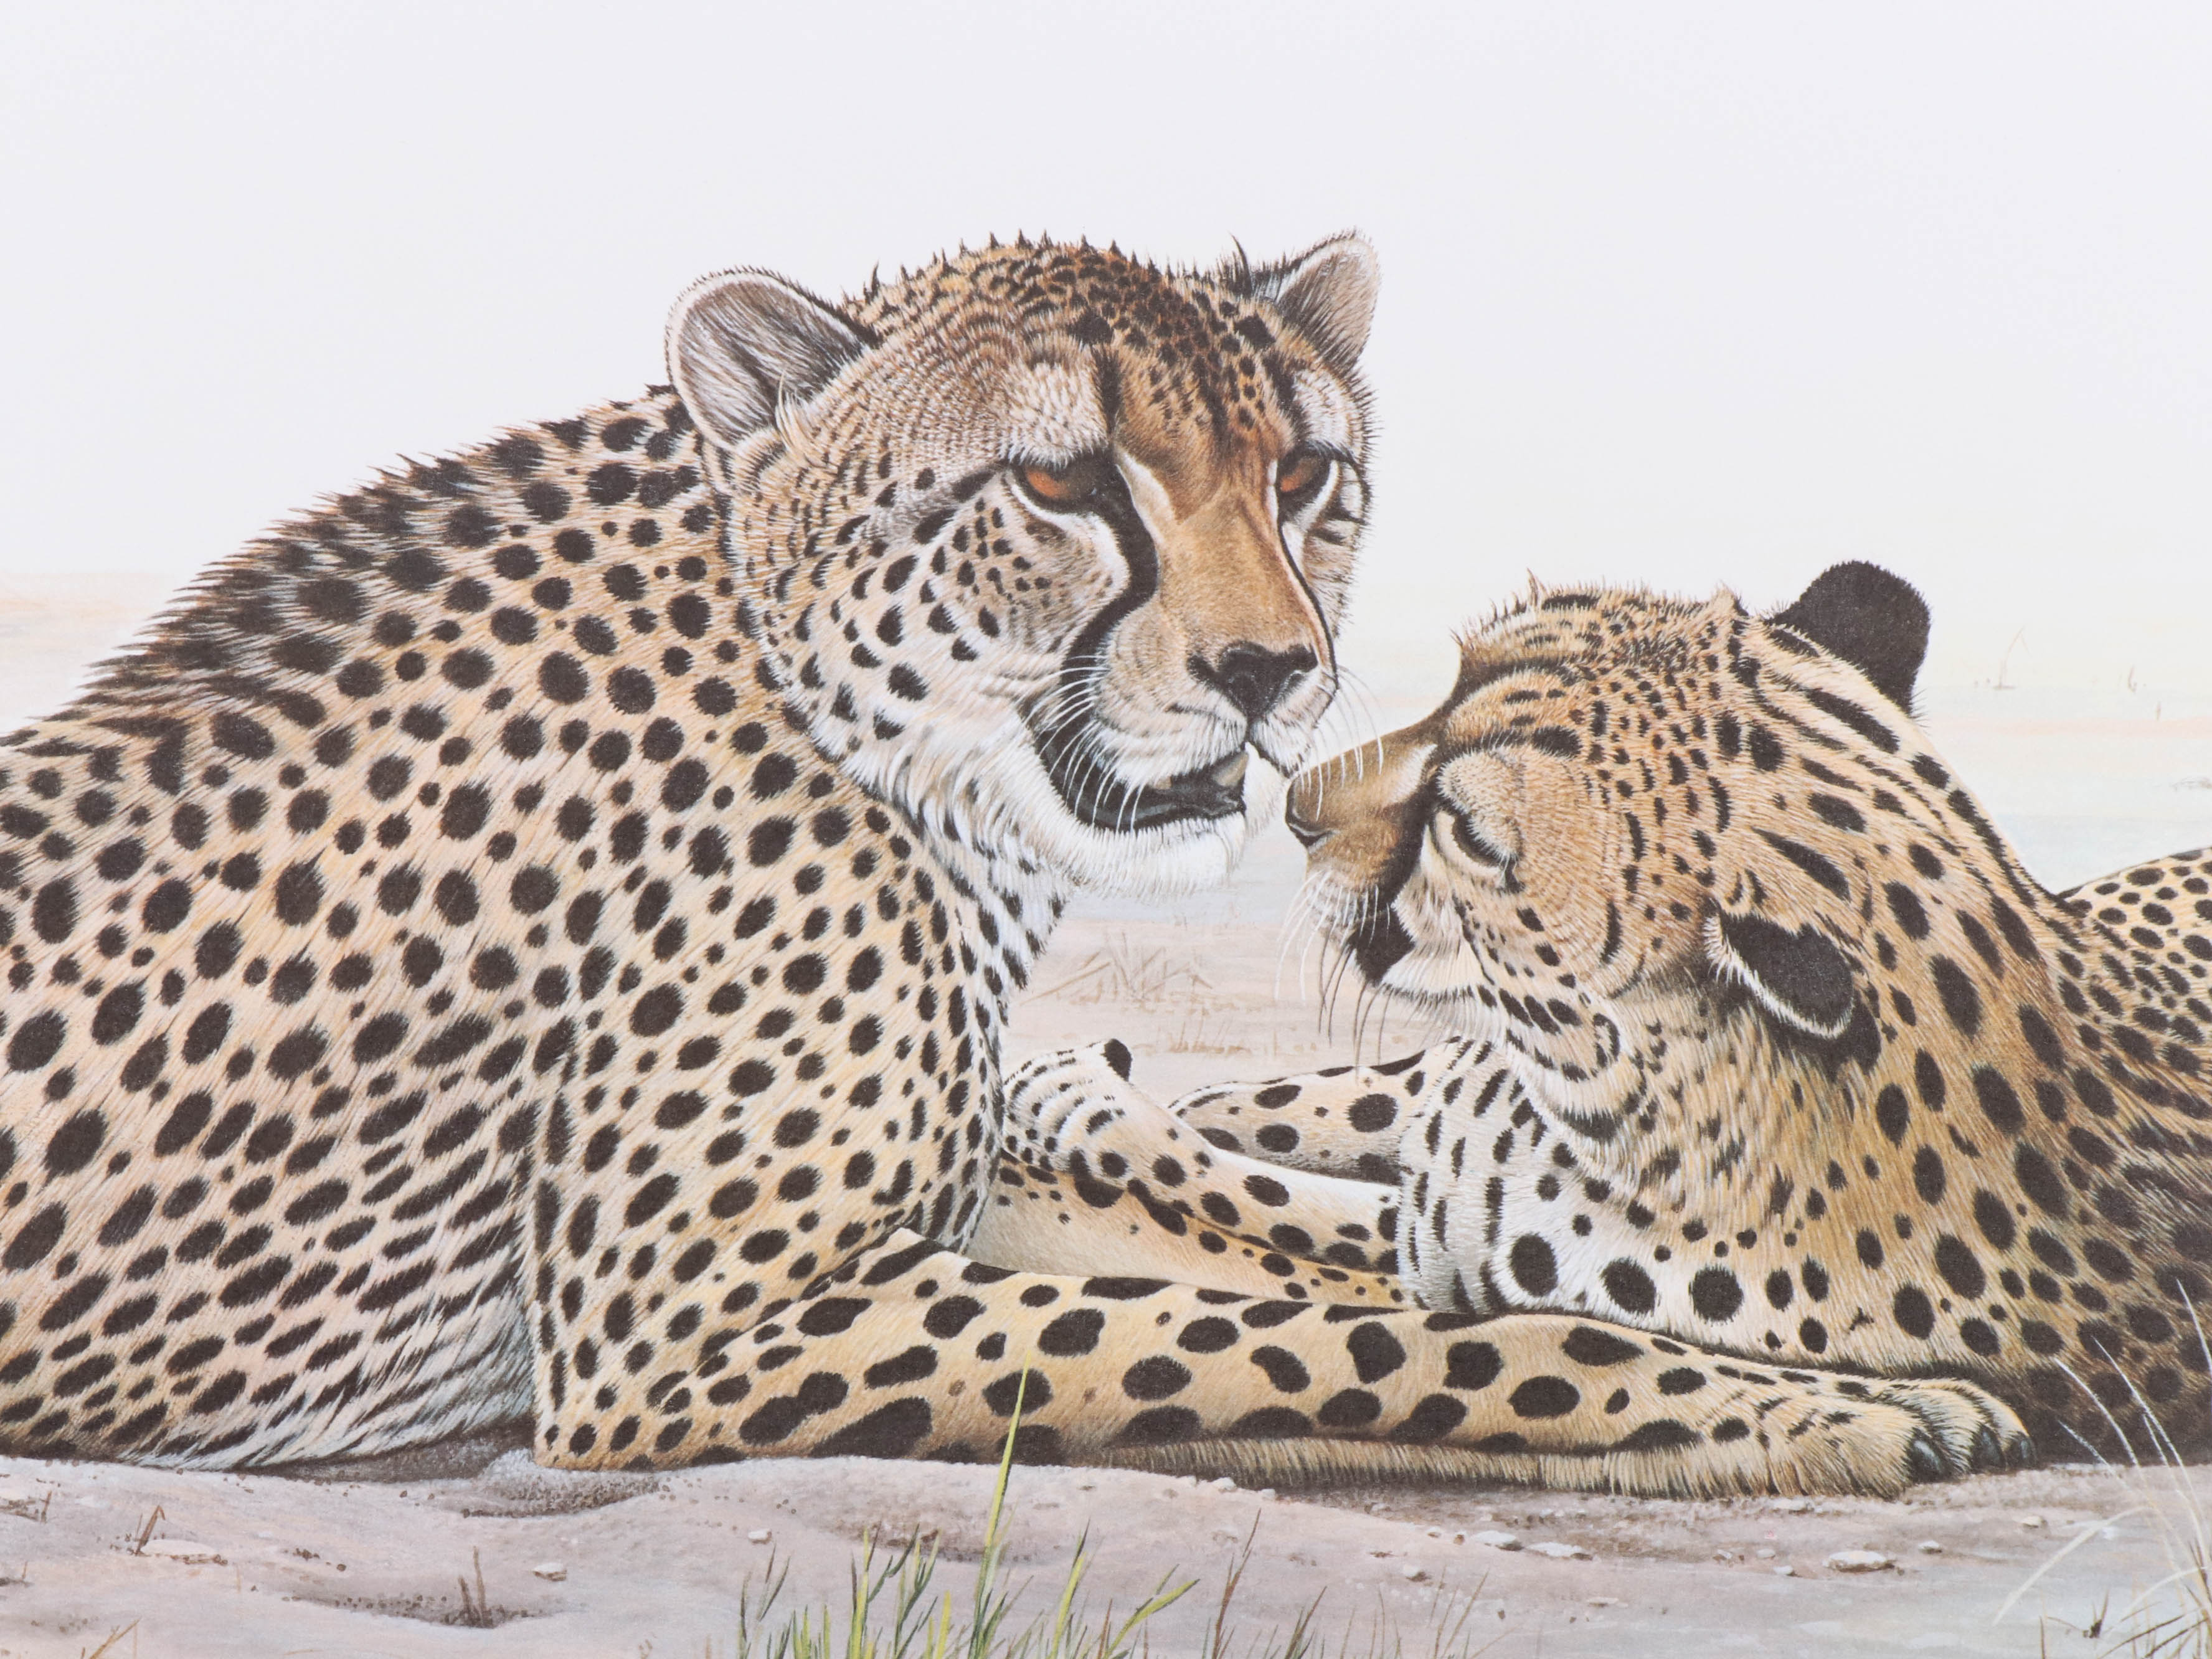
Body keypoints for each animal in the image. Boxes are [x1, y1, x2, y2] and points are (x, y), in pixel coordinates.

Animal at [990, 561, 2212, 1491]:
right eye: (1451, 686)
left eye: (1463, 827)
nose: (1293, 809)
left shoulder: (1445, 1244)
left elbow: (1284, 1196)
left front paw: (1072, 1098)